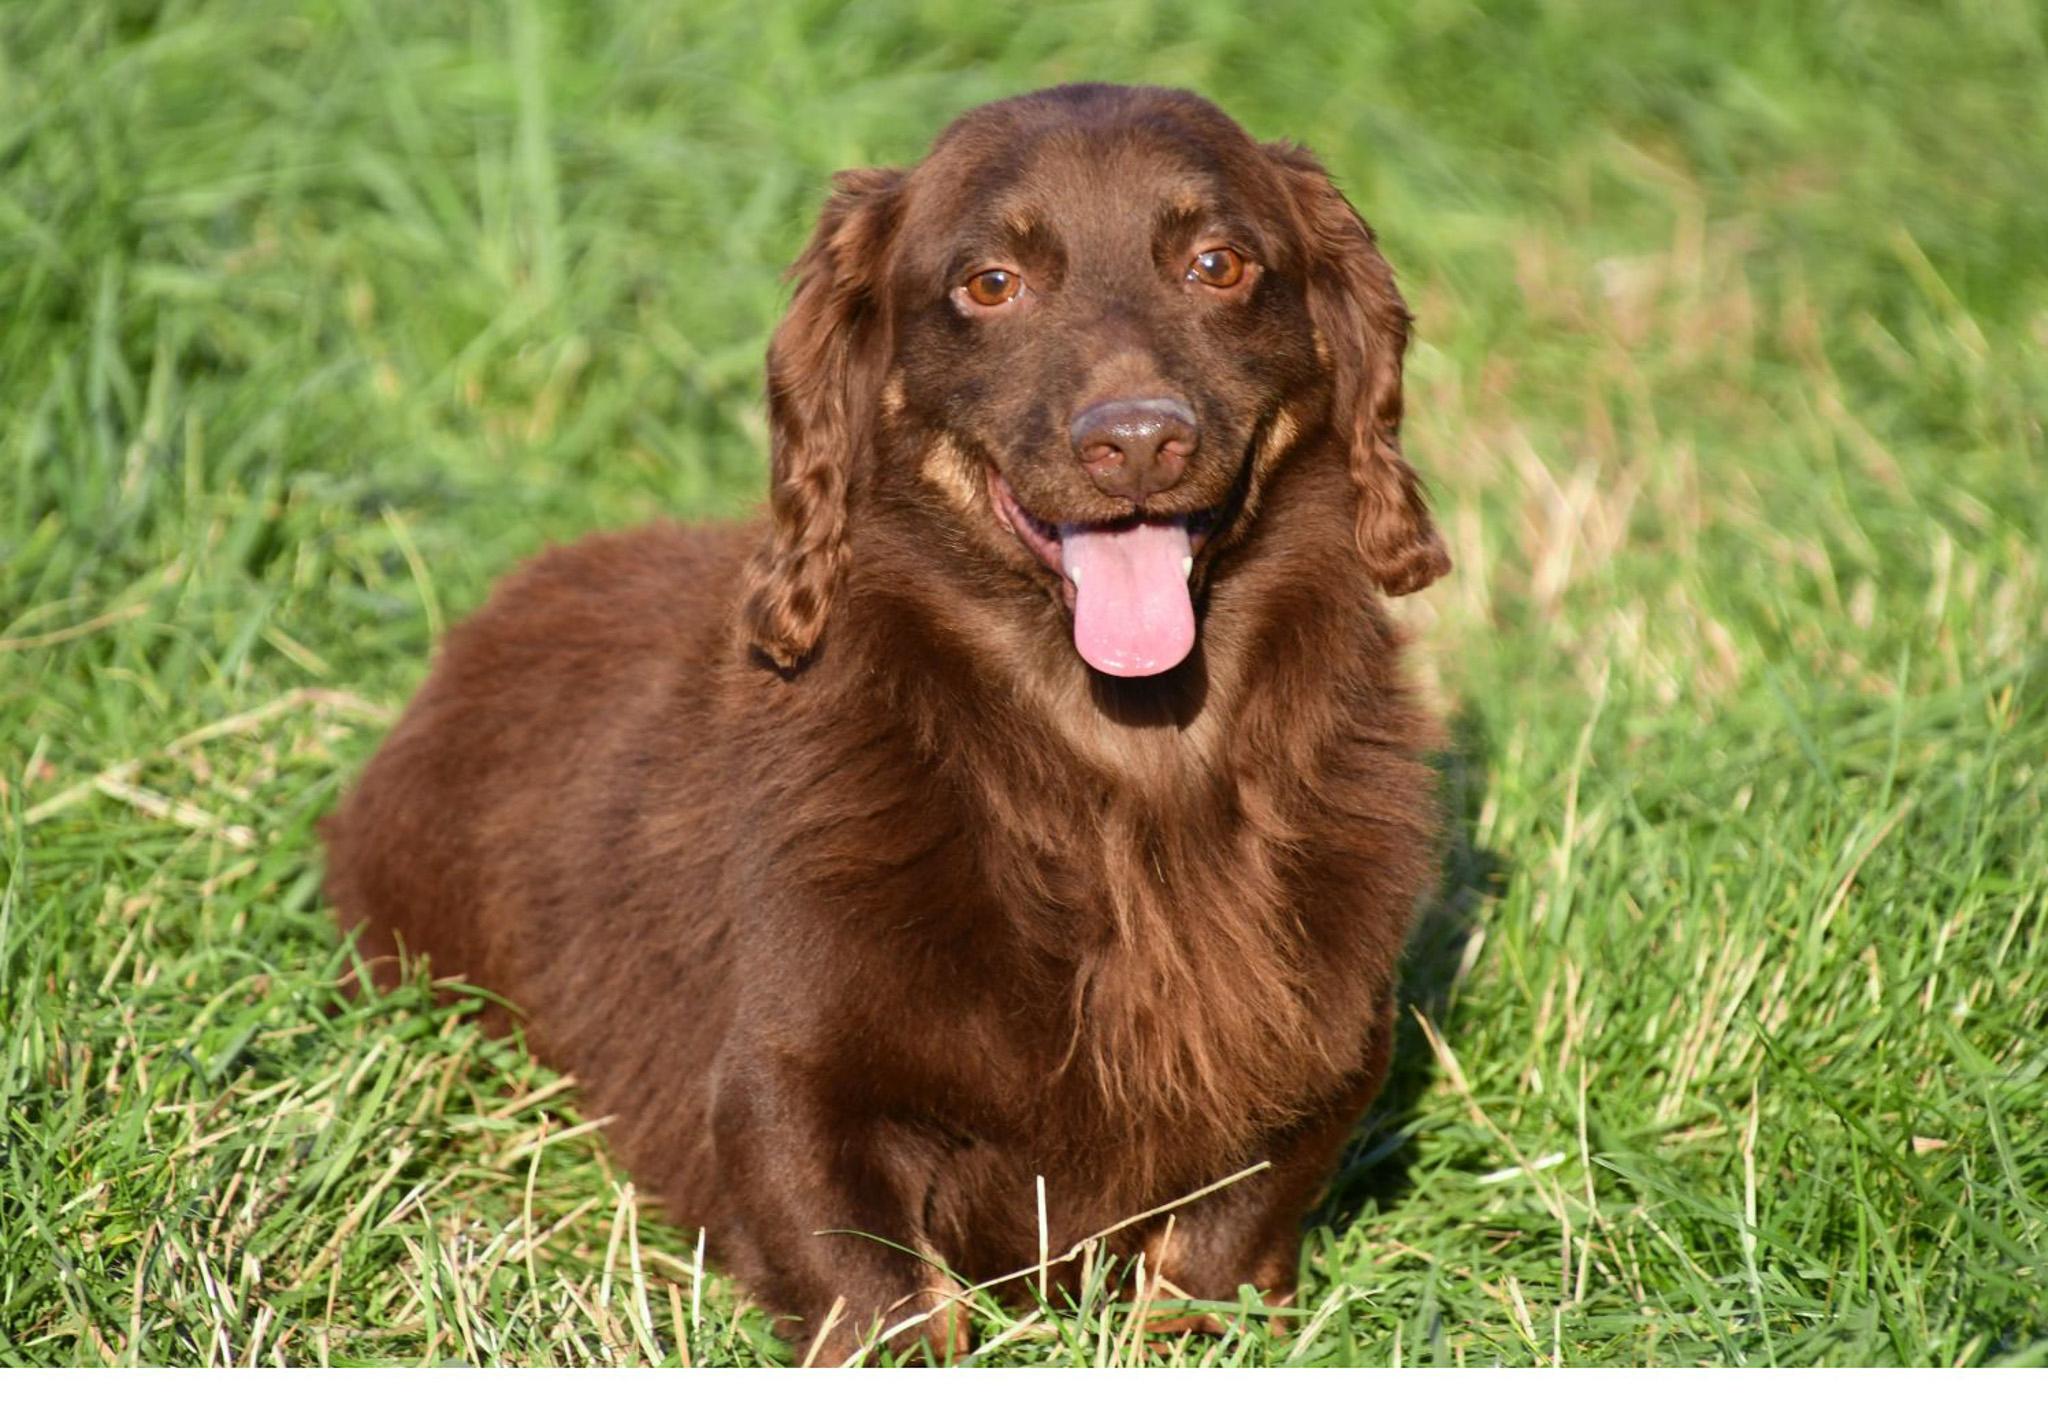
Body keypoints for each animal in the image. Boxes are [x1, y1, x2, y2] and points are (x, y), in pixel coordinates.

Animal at [323, 82, 1441, 1359]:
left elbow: (1208, 1252)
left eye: (1219, 263)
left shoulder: (1320, 1063)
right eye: (989, 282)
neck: (1120, 760)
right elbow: (878, 1291)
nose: (1136, 441)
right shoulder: (784, 1087)